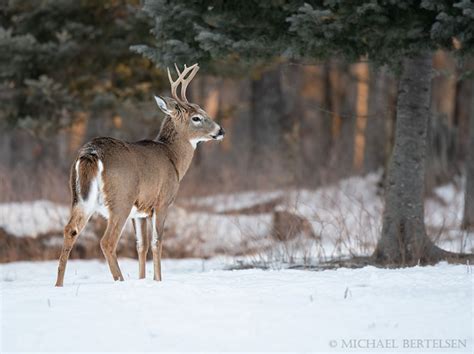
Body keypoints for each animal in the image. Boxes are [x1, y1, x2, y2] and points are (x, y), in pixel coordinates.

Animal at [54, 63, 225, 284]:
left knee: (70, 230)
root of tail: (91, 153)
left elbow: (141, 246)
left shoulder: (141, 212)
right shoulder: (162, 201)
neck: (173, 157)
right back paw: (119, 280)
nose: (220, 130)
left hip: (81, 199)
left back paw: (58, 285)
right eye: (197, 117)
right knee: (107, 241)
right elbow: (156, 242)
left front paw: (143, 279)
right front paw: (158, 280)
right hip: (121, 199)